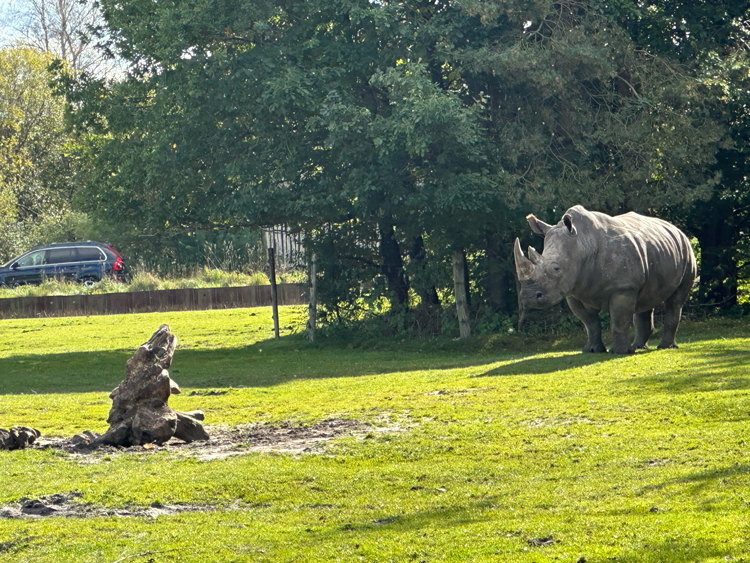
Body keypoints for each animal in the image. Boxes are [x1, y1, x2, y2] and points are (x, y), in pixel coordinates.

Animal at [516, 207, 700, 354]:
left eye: (556, 268)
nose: (528, 297)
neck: (582, 244)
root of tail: (676, 228)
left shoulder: (623, 288)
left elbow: (619, 320)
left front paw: (620, 352)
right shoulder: (574, 292)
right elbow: (590, 323)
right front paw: (591, 350)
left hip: (686, 251)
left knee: (674, 301)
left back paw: (664, 347)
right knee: (646, 299)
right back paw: (638, 347)